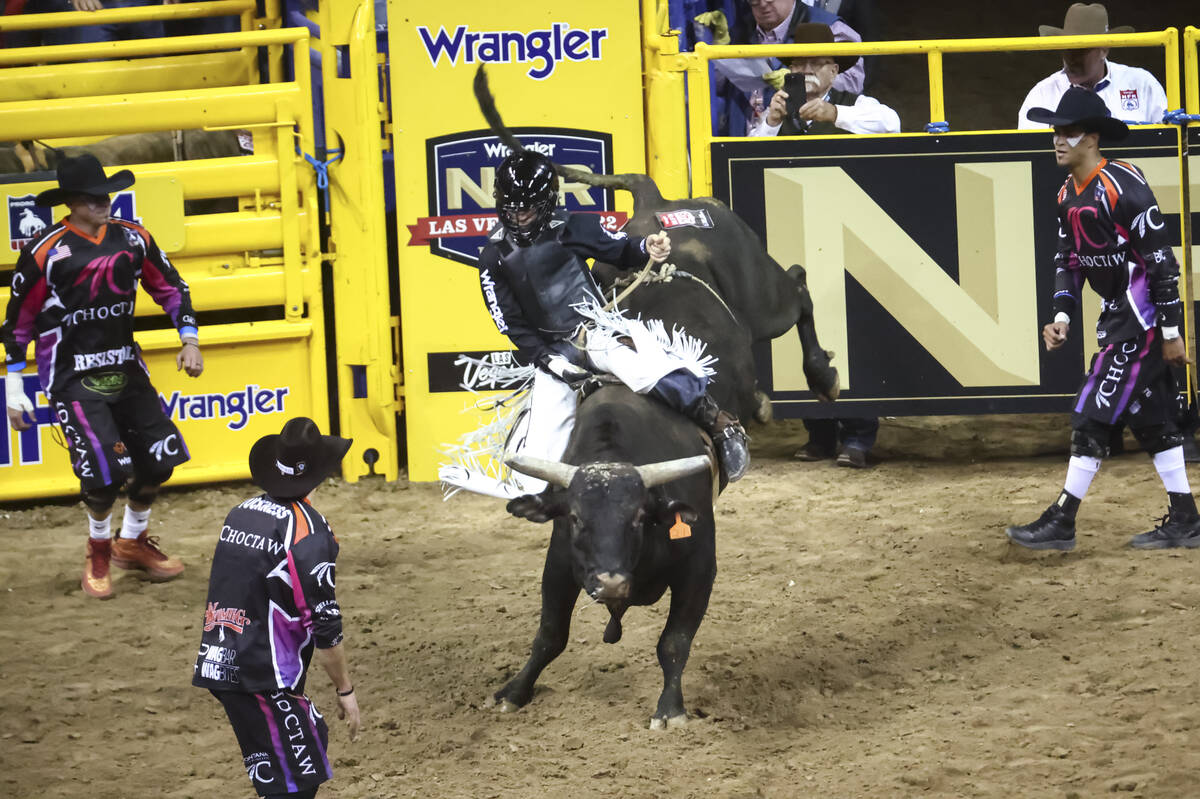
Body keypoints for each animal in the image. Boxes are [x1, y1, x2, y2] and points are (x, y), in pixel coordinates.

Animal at [472, 66, 840, 729]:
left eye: (641, 516)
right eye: (579, 519)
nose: (612, 583)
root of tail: (656, 205)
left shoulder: (700, 559)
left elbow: (675, 640)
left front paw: (670, 709)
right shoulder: (560, 561)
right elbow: (549, 634)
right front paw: (514, 689)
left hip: (763, 297)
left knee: (799, 287)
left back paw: (818, 378)